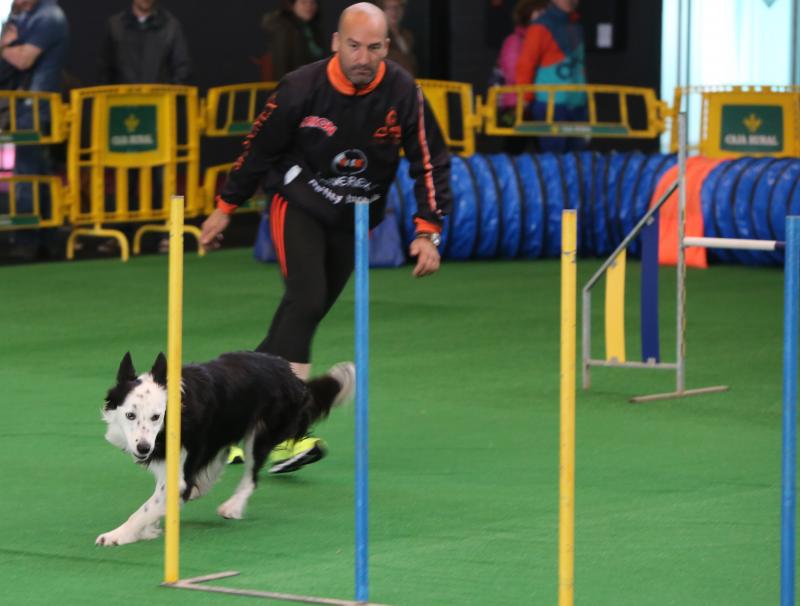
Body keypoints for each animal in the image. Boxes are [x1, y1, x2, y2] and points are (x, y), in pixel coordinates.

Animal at [97, 350, 354, 548]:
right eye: (130, 415)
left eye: (156, 417)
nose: (143, 448)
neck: (173, 418)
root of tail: (290, 373)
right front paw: (149, 529)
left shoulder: (179, 471)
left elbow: (144, 509)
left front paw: (116, 535)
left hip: (261, 432)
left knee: (251, 476)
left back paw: (233, 506)